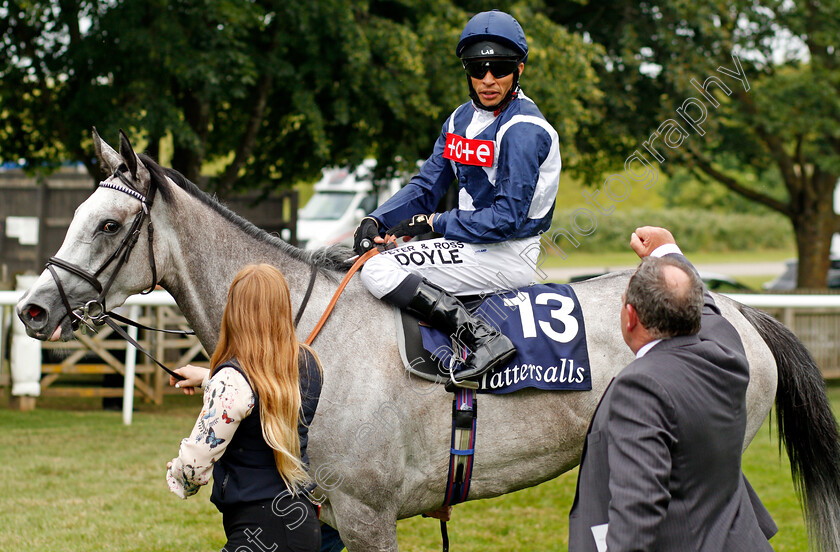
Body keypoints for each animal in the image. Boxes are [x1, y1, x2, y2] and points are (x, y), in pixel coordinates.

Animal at [16, 130, 840, 552]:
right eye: (80, 215)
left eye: (109, 224)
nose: (30, 308)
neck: (306, 333)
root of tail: (735, 309)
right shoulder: (325, 518)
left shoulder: (369, 516)